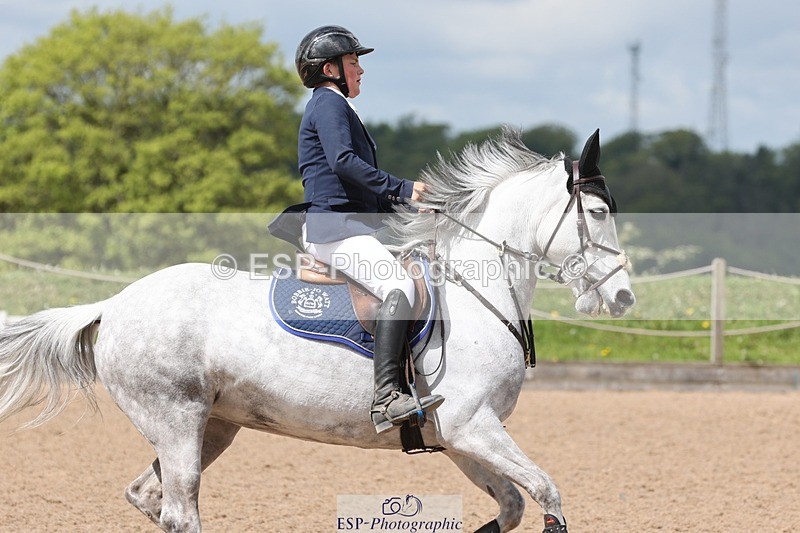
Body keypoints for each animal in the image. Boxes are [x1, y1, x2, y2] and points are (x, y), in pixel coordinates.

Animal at [0, 129, 635, 532]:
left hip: (212, 426)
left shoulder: (460, 437)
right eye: (599, 213)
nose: (624, 298)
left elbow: (511, 506)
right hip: (175, 419)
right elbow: (547, 492)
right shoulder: (473, 426)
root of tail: (114, 303)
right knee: (181, 509)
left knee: (148, 497)